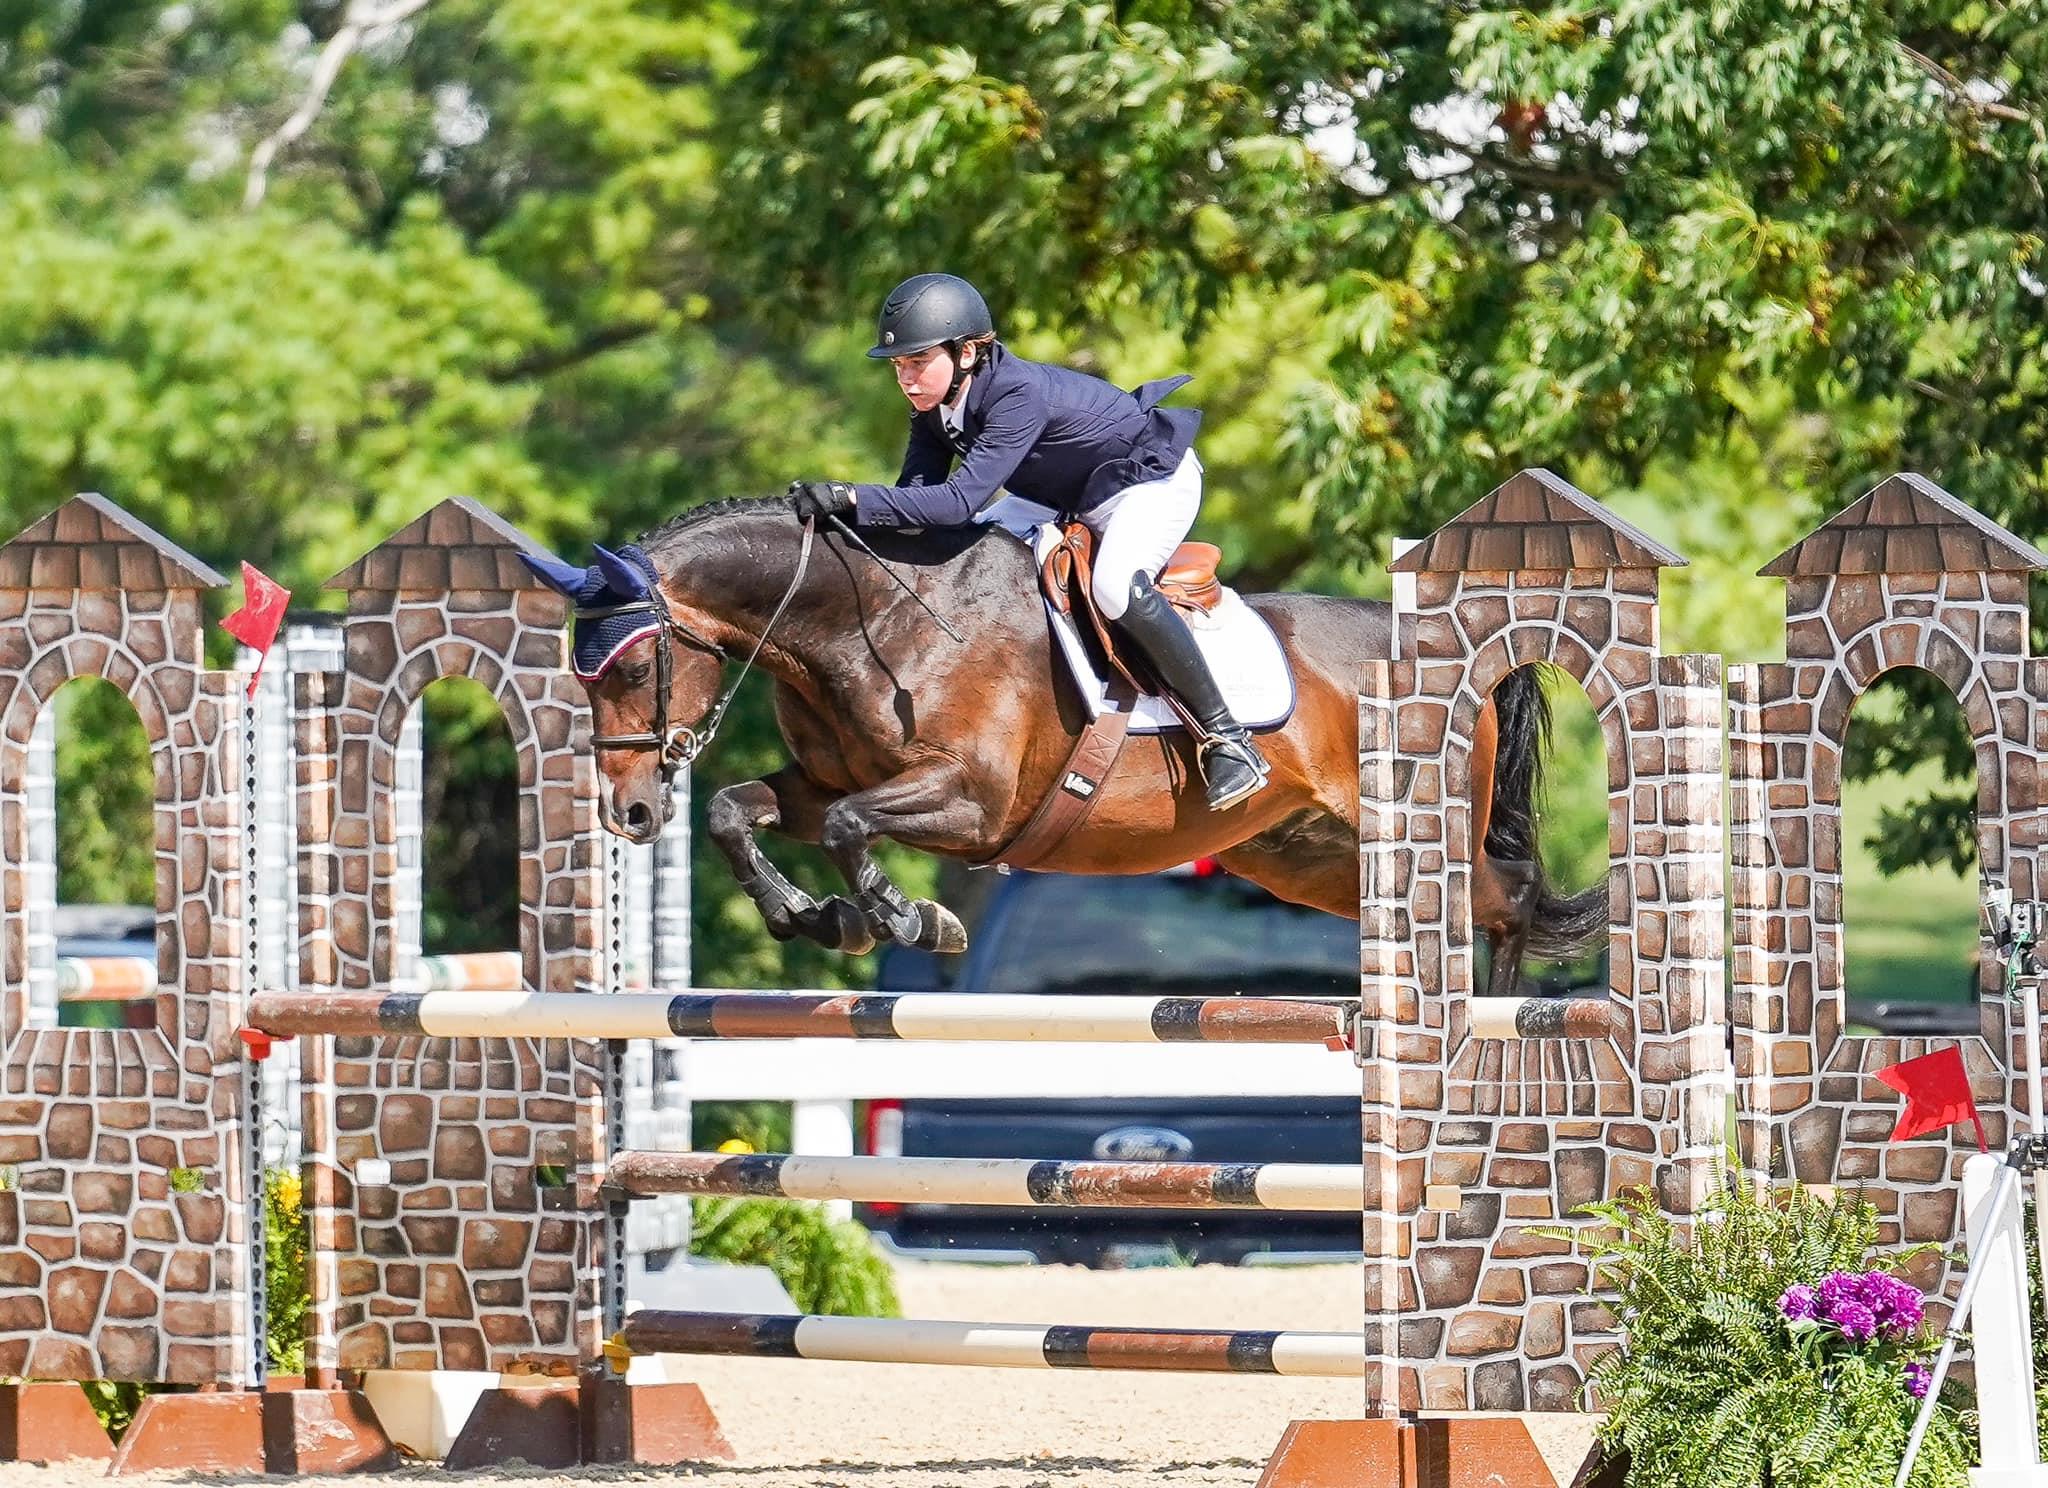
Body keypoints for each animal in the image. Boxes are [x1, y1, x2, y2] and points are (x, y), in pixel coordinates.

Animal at [523, 498, 1607, 994]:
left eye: (631, 666)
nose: (628, 812)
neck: (861, 622)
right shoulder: (823, 781)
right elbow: (737, 810)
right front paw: (814, 917)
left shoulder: (970, 803)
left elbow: (847, 827)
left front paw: (906, 919)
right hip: (1305, 857)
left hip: (1418, 833)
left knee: (1504, 899)